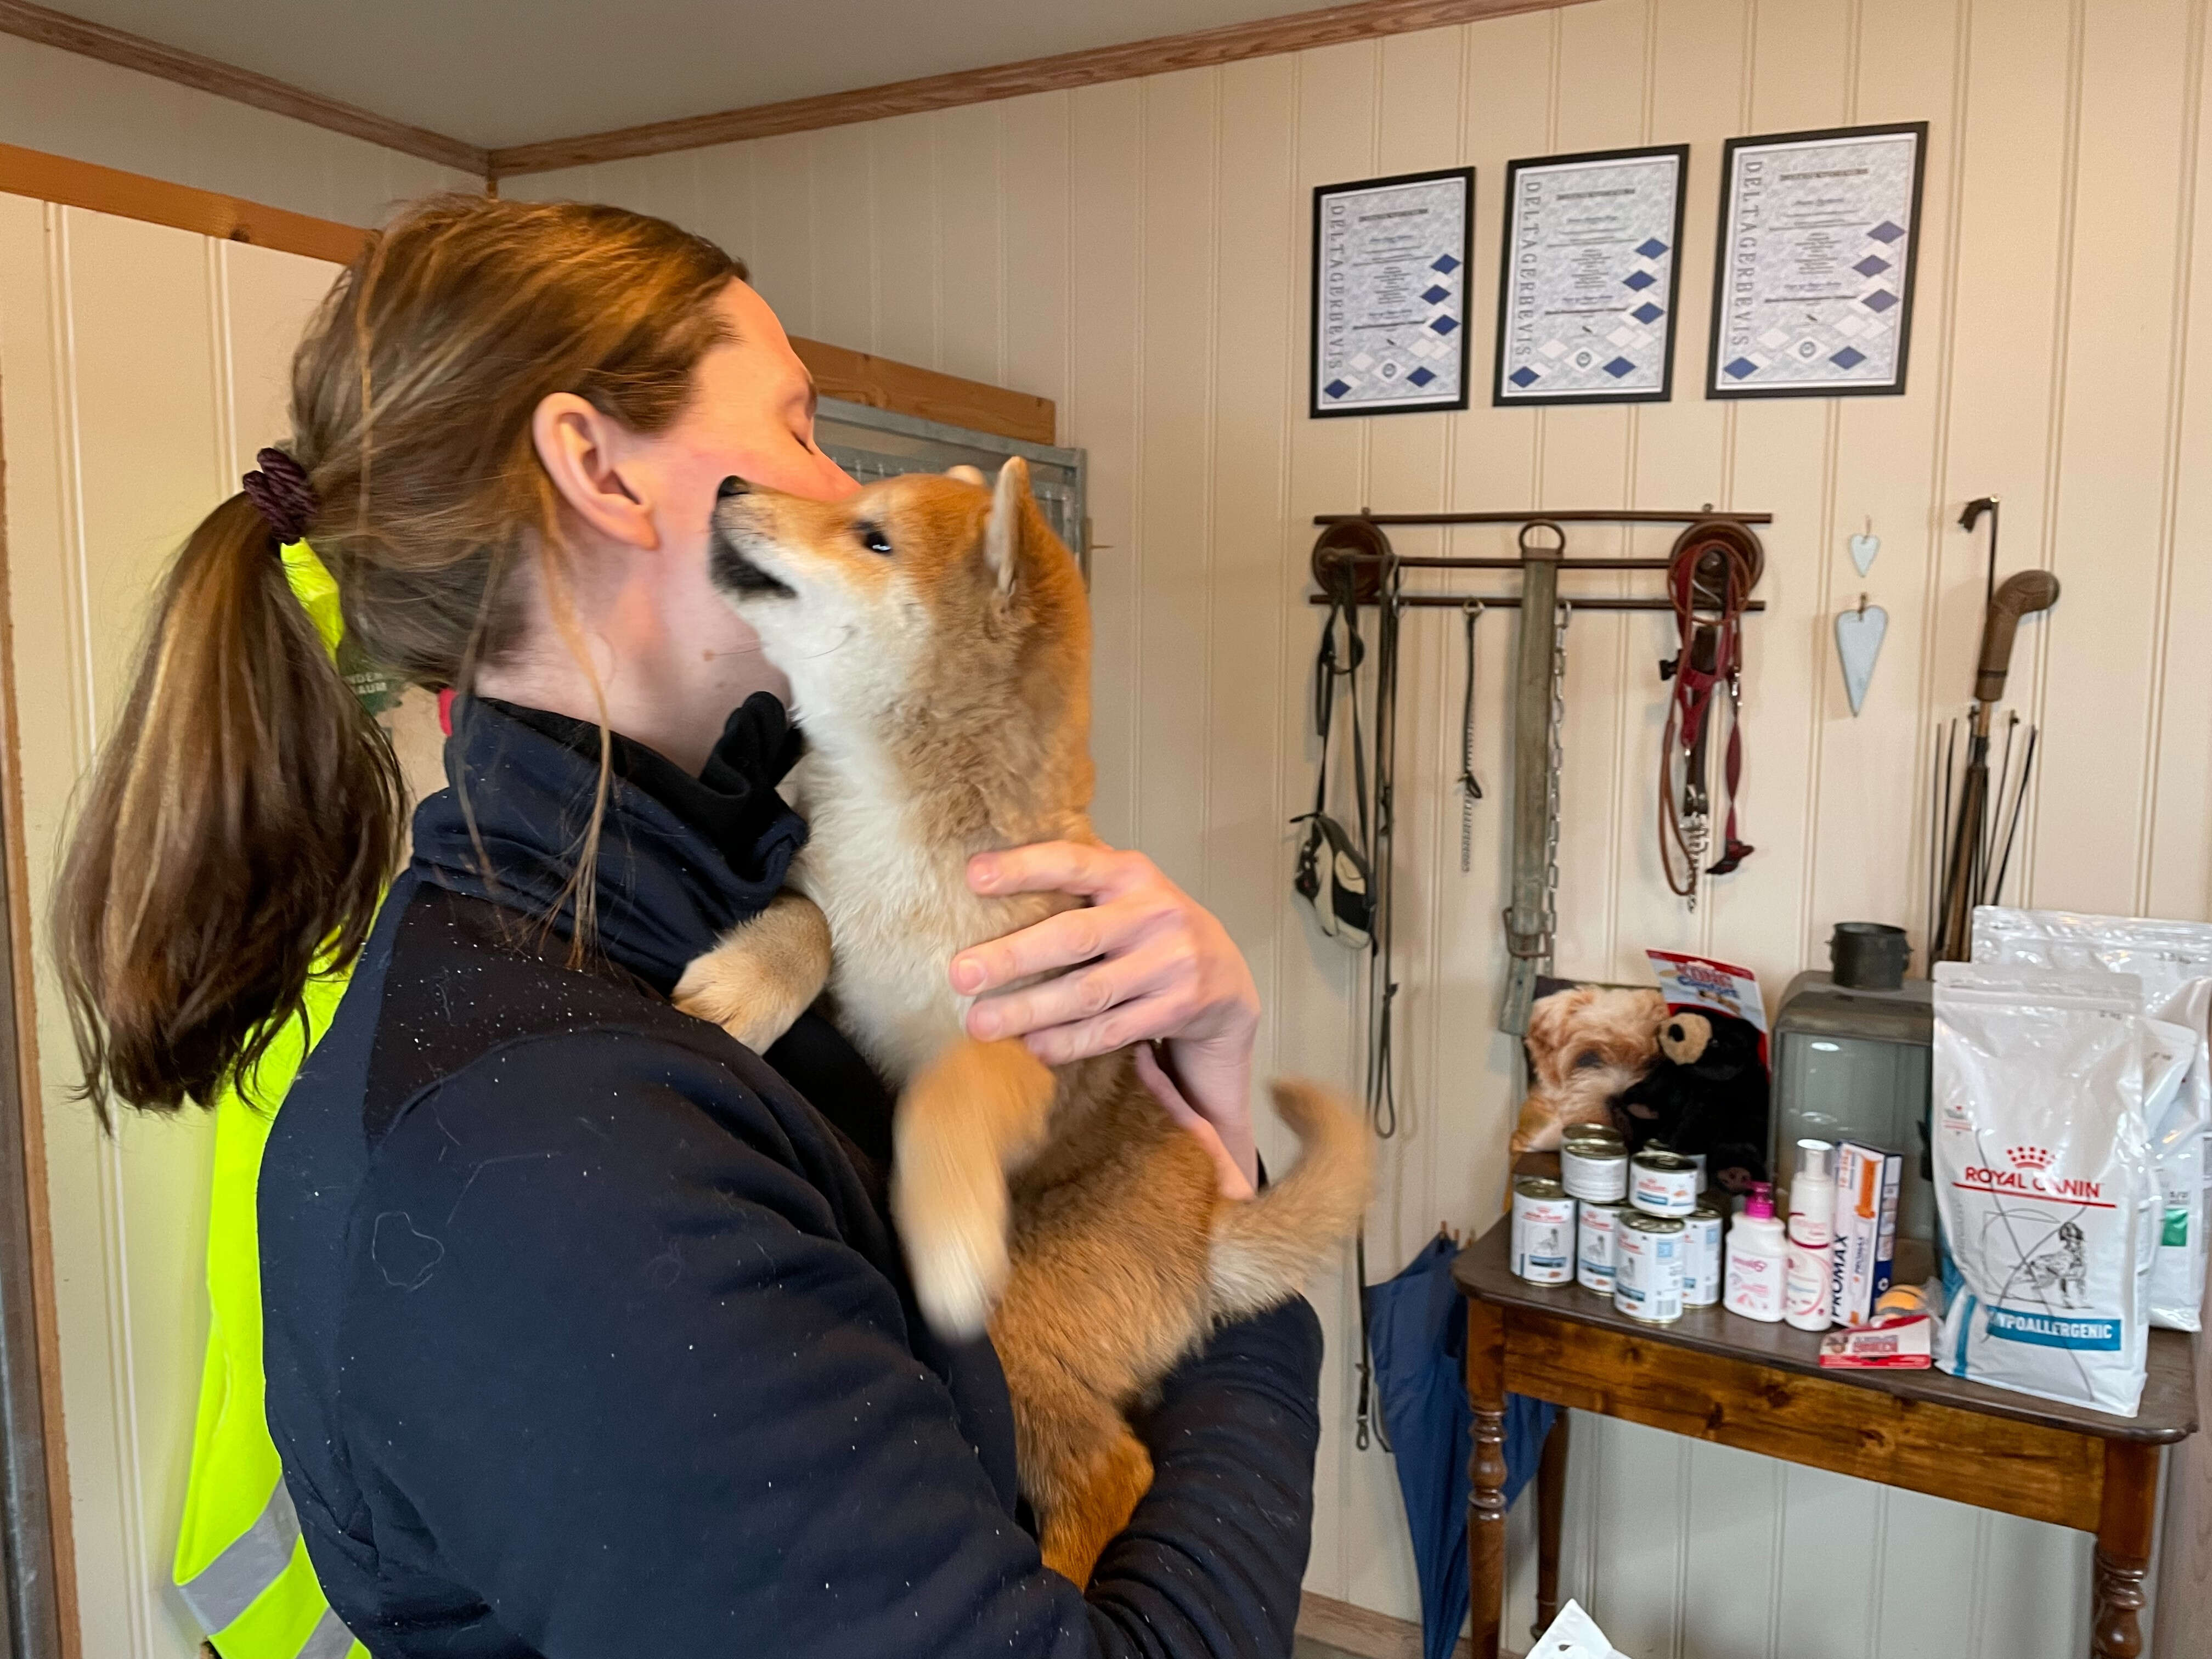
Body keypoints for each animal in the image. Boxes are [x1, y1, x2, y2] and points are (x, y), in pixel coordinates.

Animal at [674, 458, 1371, 1585]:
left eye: (873, 537)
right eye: (848, 505)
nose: (731, 481)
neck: (904, 832)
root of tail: (1209, 1233)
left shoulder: (1035, 1031)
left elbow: (953, 1091)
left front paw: (947, 1222)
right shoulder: (825, 898)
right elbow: (806, 922)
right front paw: (743, 983)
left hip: (1028, 1324)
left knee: (1111, 1471)